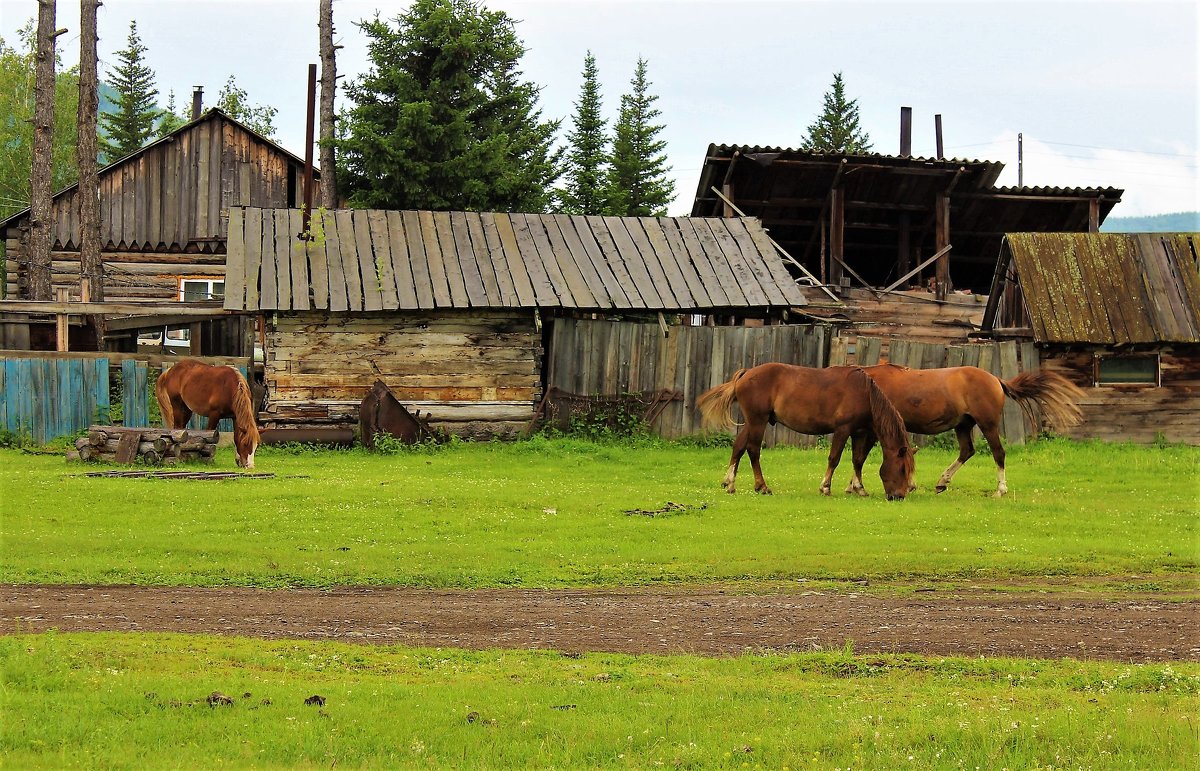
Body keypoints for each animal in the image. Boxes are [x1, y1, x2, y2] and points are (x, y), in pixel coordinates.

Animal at [700, 365, 912, 501]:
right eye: (902, 469)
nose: (899, 496)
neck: (865, 394)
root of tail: (746, 373)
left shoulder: (859, 433)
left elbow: (858, 461)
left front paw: (859, 488)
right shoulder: (843, 430)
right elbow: (834, 459)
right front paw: (825, 487)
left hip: (753, 422)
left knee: (739, 447)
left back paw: (730, 483)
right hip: (758, 421)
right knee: (753, 450)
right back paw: (762, 486)